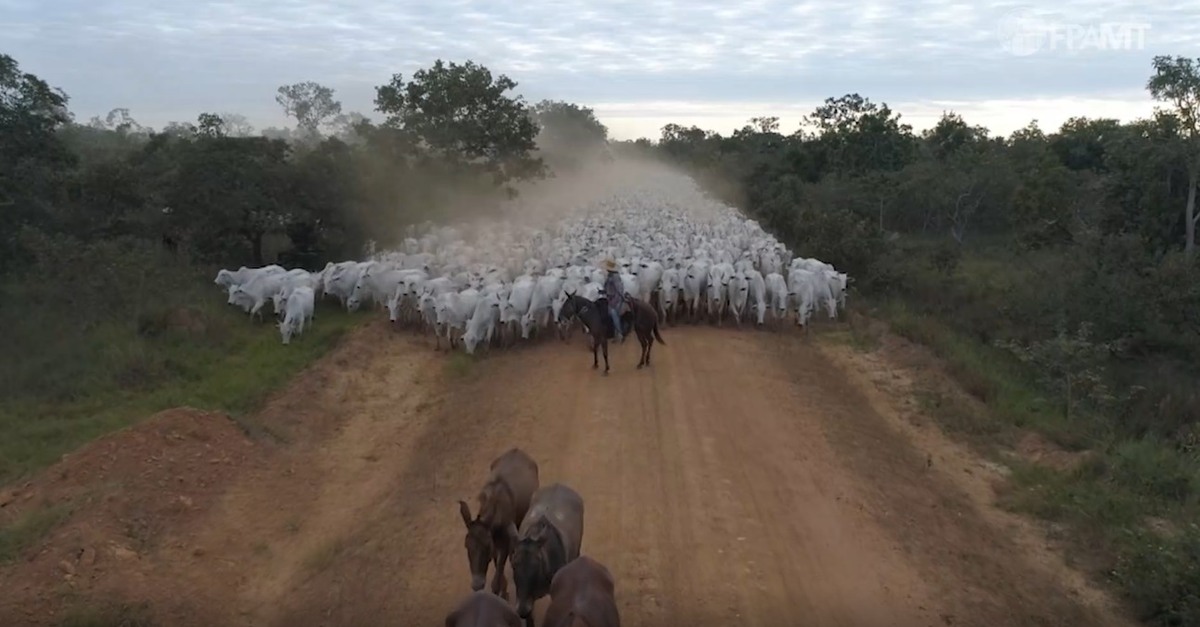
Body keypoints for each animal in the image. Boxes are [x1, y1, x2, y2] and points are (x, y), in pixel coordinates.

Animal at [458, 446, 540, 598]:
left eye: (486, 546)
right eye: (466, 546)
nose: (477, 584)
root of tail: (516, 450)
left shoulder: (503, 543)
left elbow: (498, 573)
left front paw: (502, 593)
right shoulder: (495, 543)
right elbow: (497, 564)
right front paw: (503, 588)